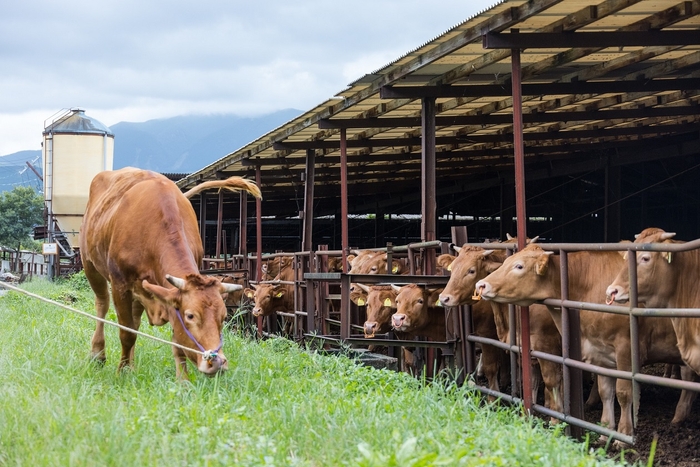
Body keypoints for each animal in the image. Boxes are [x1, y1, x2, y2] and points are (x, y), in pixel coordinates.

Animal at [79, 166, 260, 378]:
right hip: (90, 264)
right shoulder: (120, 284)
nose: (217, 363)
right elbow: (127, 333)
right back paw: (98, 354)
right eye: (190, 316)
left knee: (135, 321)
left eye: (223, 317)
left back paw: (131, 365)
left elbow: (176, 341)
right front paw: (121, 372)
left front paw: (182, 379)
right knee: (102, 305)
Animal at [476, 245, 696, 446]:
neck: (587, 284)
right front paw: (605, 432)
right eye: (505, 262)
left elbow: (624, 393)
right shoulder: (600, 353)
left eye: (519, 266)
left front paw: (623, 437)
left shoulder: (626, 349)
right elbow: (606, 391)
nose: (482, 285)